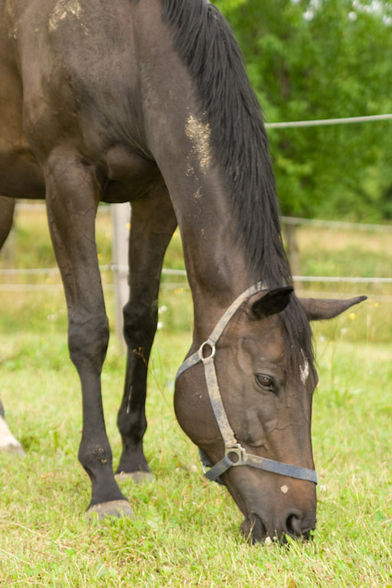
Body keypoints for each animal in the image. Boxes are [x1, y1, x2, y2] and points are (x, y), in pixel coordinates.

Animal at [0, 0, 364, 544]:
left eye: (314, 383)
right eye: (266, 380)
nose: (297, 523)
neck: (125, 44)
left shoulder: (156, 194)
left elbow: (140, 322)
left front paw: (133, 461)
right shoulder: (68, 178)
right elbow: (90, 331)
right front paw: (104, 485)